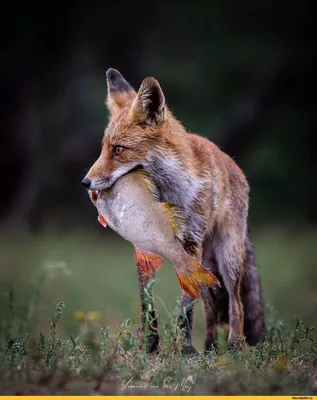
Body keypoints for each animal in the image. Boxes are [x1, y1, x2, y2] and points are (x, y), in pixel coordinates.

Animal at [81, 69, 264, 354]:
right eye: (103, 149)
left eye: (118, 149)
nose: (85, 182)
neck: (168, 192)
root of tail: (233, 164)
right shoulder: (144, 245)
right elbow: (147, 304)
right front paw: (150, 346)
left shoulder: (191, 244)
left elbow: (186, 306)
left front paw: (185, 349)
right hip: (210, 266)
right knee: (211, 309)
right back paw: (211, 346)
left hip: (228, 257)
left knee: (237, 304)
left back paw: (235, 345)